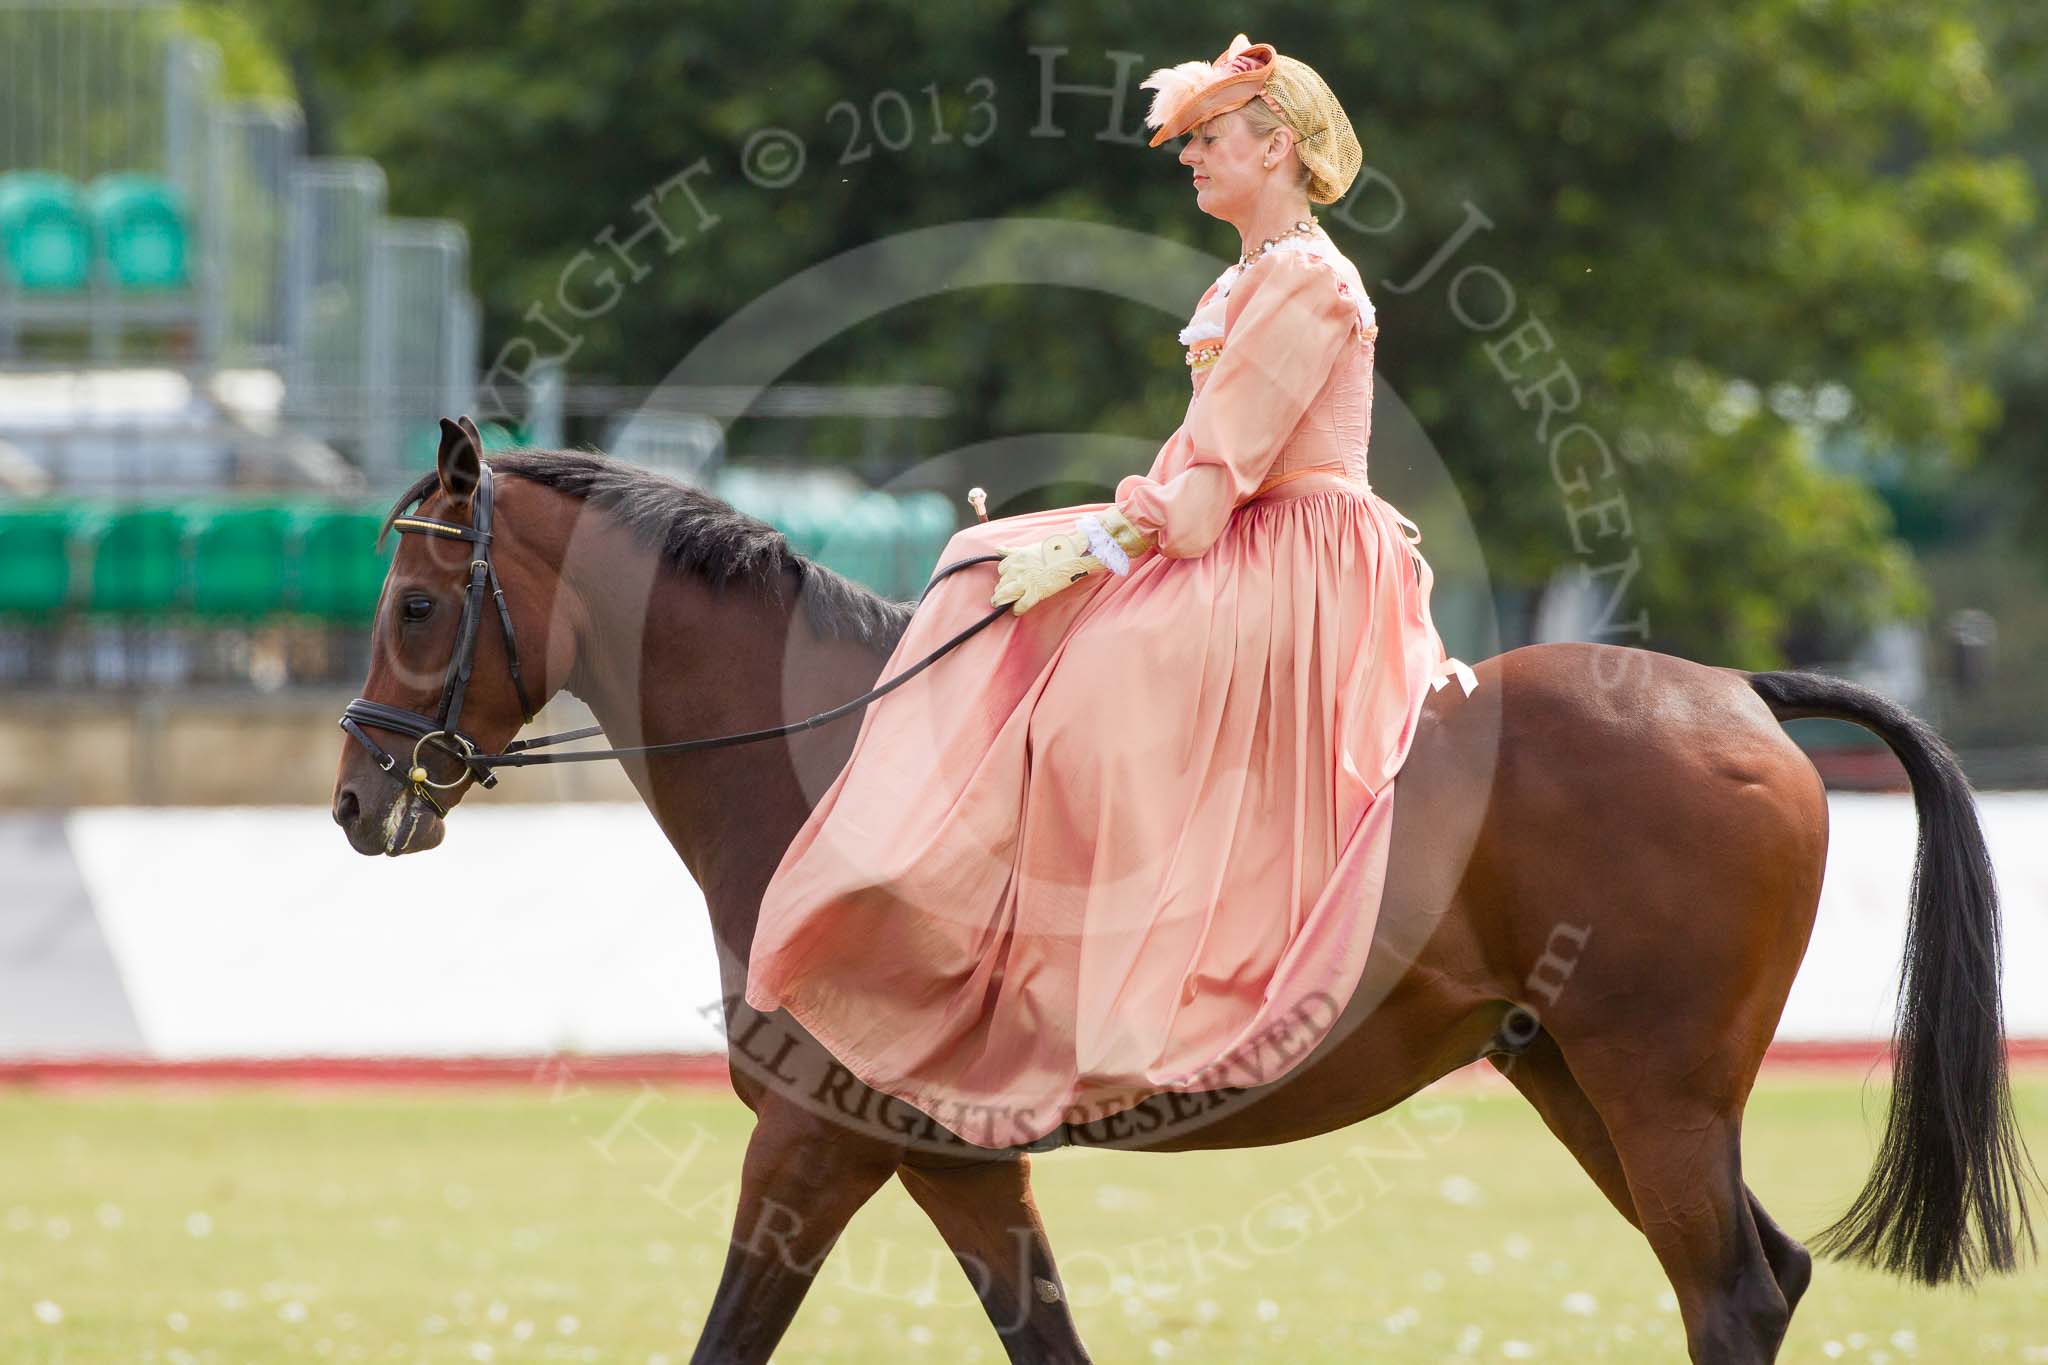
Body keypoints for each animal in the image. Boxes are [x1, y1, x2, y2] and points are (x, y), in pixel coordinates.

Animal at [327, 419, 2023, 1365]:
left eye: (413, 602)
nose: (355, 799)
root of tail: (1736, 692)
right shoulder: (954, 1165)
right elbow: (1046, 1341)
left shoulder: (818, 1143)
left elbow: (728, 1341)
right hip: (1580, 1085)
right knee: (1759, 1282)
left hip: (1653, 1090)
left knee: (1730, 1294)